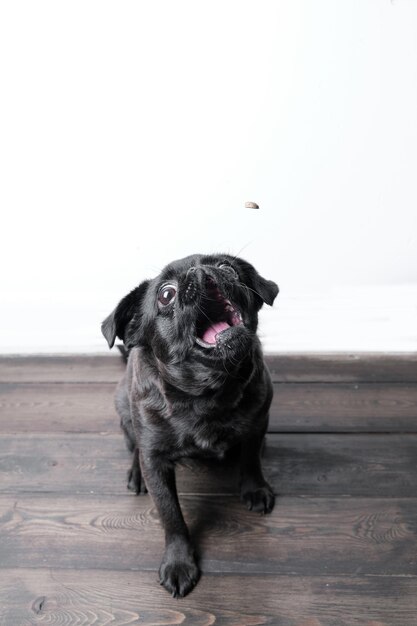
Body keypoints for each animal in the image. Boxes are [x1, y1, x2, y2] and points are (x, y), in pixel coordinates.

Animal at [101, 252, 278, 596]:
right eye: (166, 294)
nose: (201, 272)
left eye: (226, 267)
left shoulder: (257, 424)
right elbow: (171, 516)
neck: (209, 393)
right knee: (134, 446)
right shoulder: (156, 461)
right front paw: (179, 562)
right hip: (125, 411)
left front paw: (255, 488)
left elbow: (251, 460)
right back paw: (136, 474)